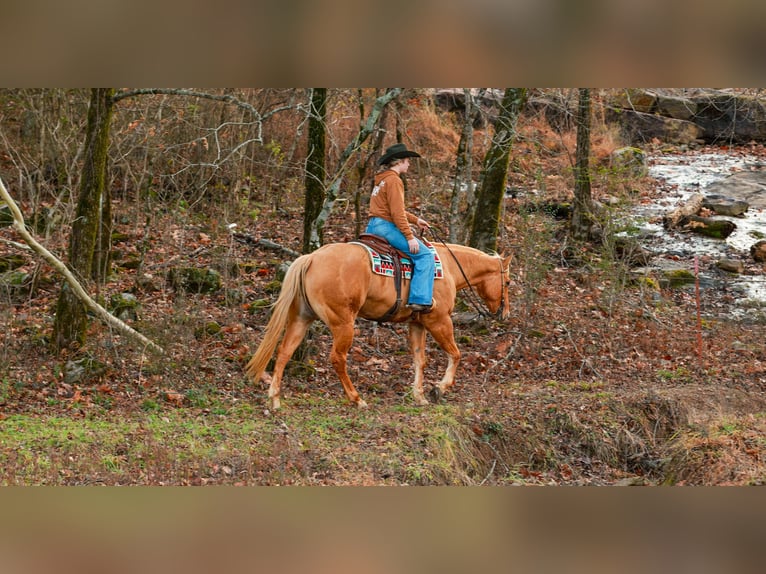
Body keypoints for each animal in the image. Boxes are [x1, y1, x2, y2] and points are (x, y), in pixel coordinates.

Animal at [245, 239, 512, 409]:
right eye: (508, 282)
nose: (505, 313)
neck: (447, 267)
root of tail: (311, 258)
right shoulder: (439, 320)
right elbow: (455, 354)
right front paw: (440, 388)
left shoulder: (417, 324)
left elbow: (420, 360)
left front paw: (419, 395)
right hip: (344, 324)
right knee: (337, 358)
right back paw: (356, 399)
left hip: (302, 318)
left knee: (284, 352)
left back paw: (275, 399)